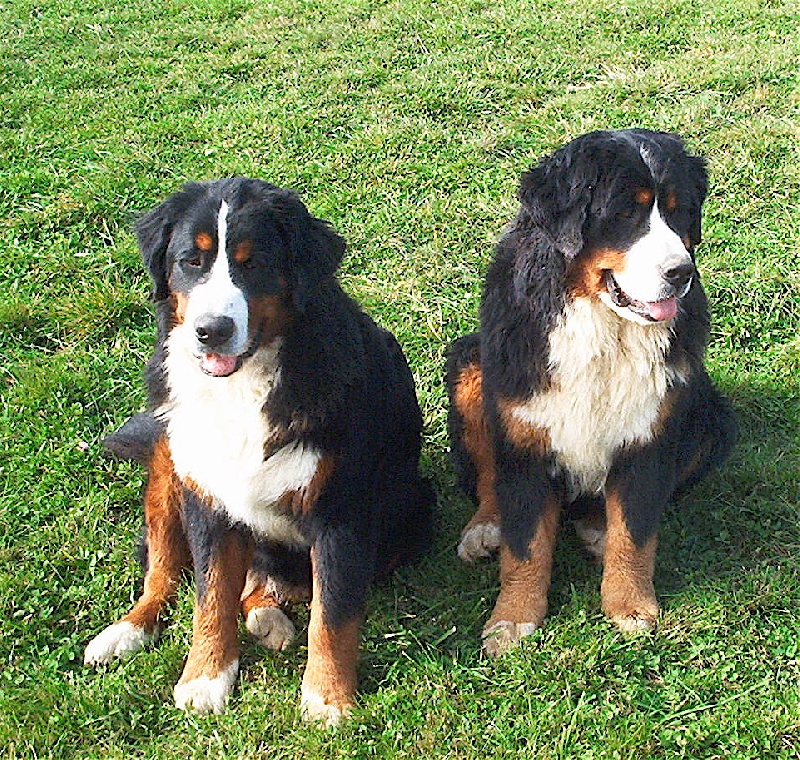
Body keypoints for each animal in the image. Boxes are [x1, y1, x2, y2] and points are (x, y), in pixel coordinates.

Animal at [84, 178, 434, 724]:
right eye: (191, 261)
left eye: (254, 264)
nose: (212, 330)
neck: (243, 386)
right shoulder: (208, 499)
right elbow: (210, 595)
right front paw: (205, 677)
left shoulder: (341, 511)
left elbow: (332, 612)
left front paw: (327, 697)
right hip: (168, 464)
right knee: (163, 571)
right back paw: (127, 631)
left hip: (412, 507)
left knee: (269, 585)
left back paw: (270, 618)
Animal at [446, 129, 736, 652]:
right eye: (624, 213)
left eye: (680, 211)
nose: (681, 272)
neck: (604, 326)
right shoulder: (525, 434)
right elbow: (525, 544)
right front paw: (513, 618)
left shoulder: (648, 435)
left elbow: (634, 531)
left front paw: (630, 605)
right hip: (472, 364)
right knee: (488, 481)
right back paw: (485, 527)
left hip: (711, 419)